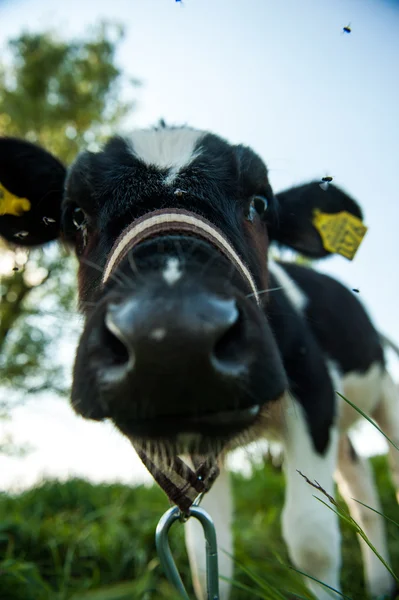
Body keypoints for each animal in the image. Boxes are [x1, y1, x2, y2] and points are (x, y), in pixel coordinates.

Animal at [0, 124, 398, 596]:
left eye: (260, 203)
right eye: (75, 214)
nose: (172, 337)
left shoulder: (314, 395)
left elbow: (312, 539)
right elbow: (208, 551)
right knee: (360, 481)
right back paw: (379, 584)